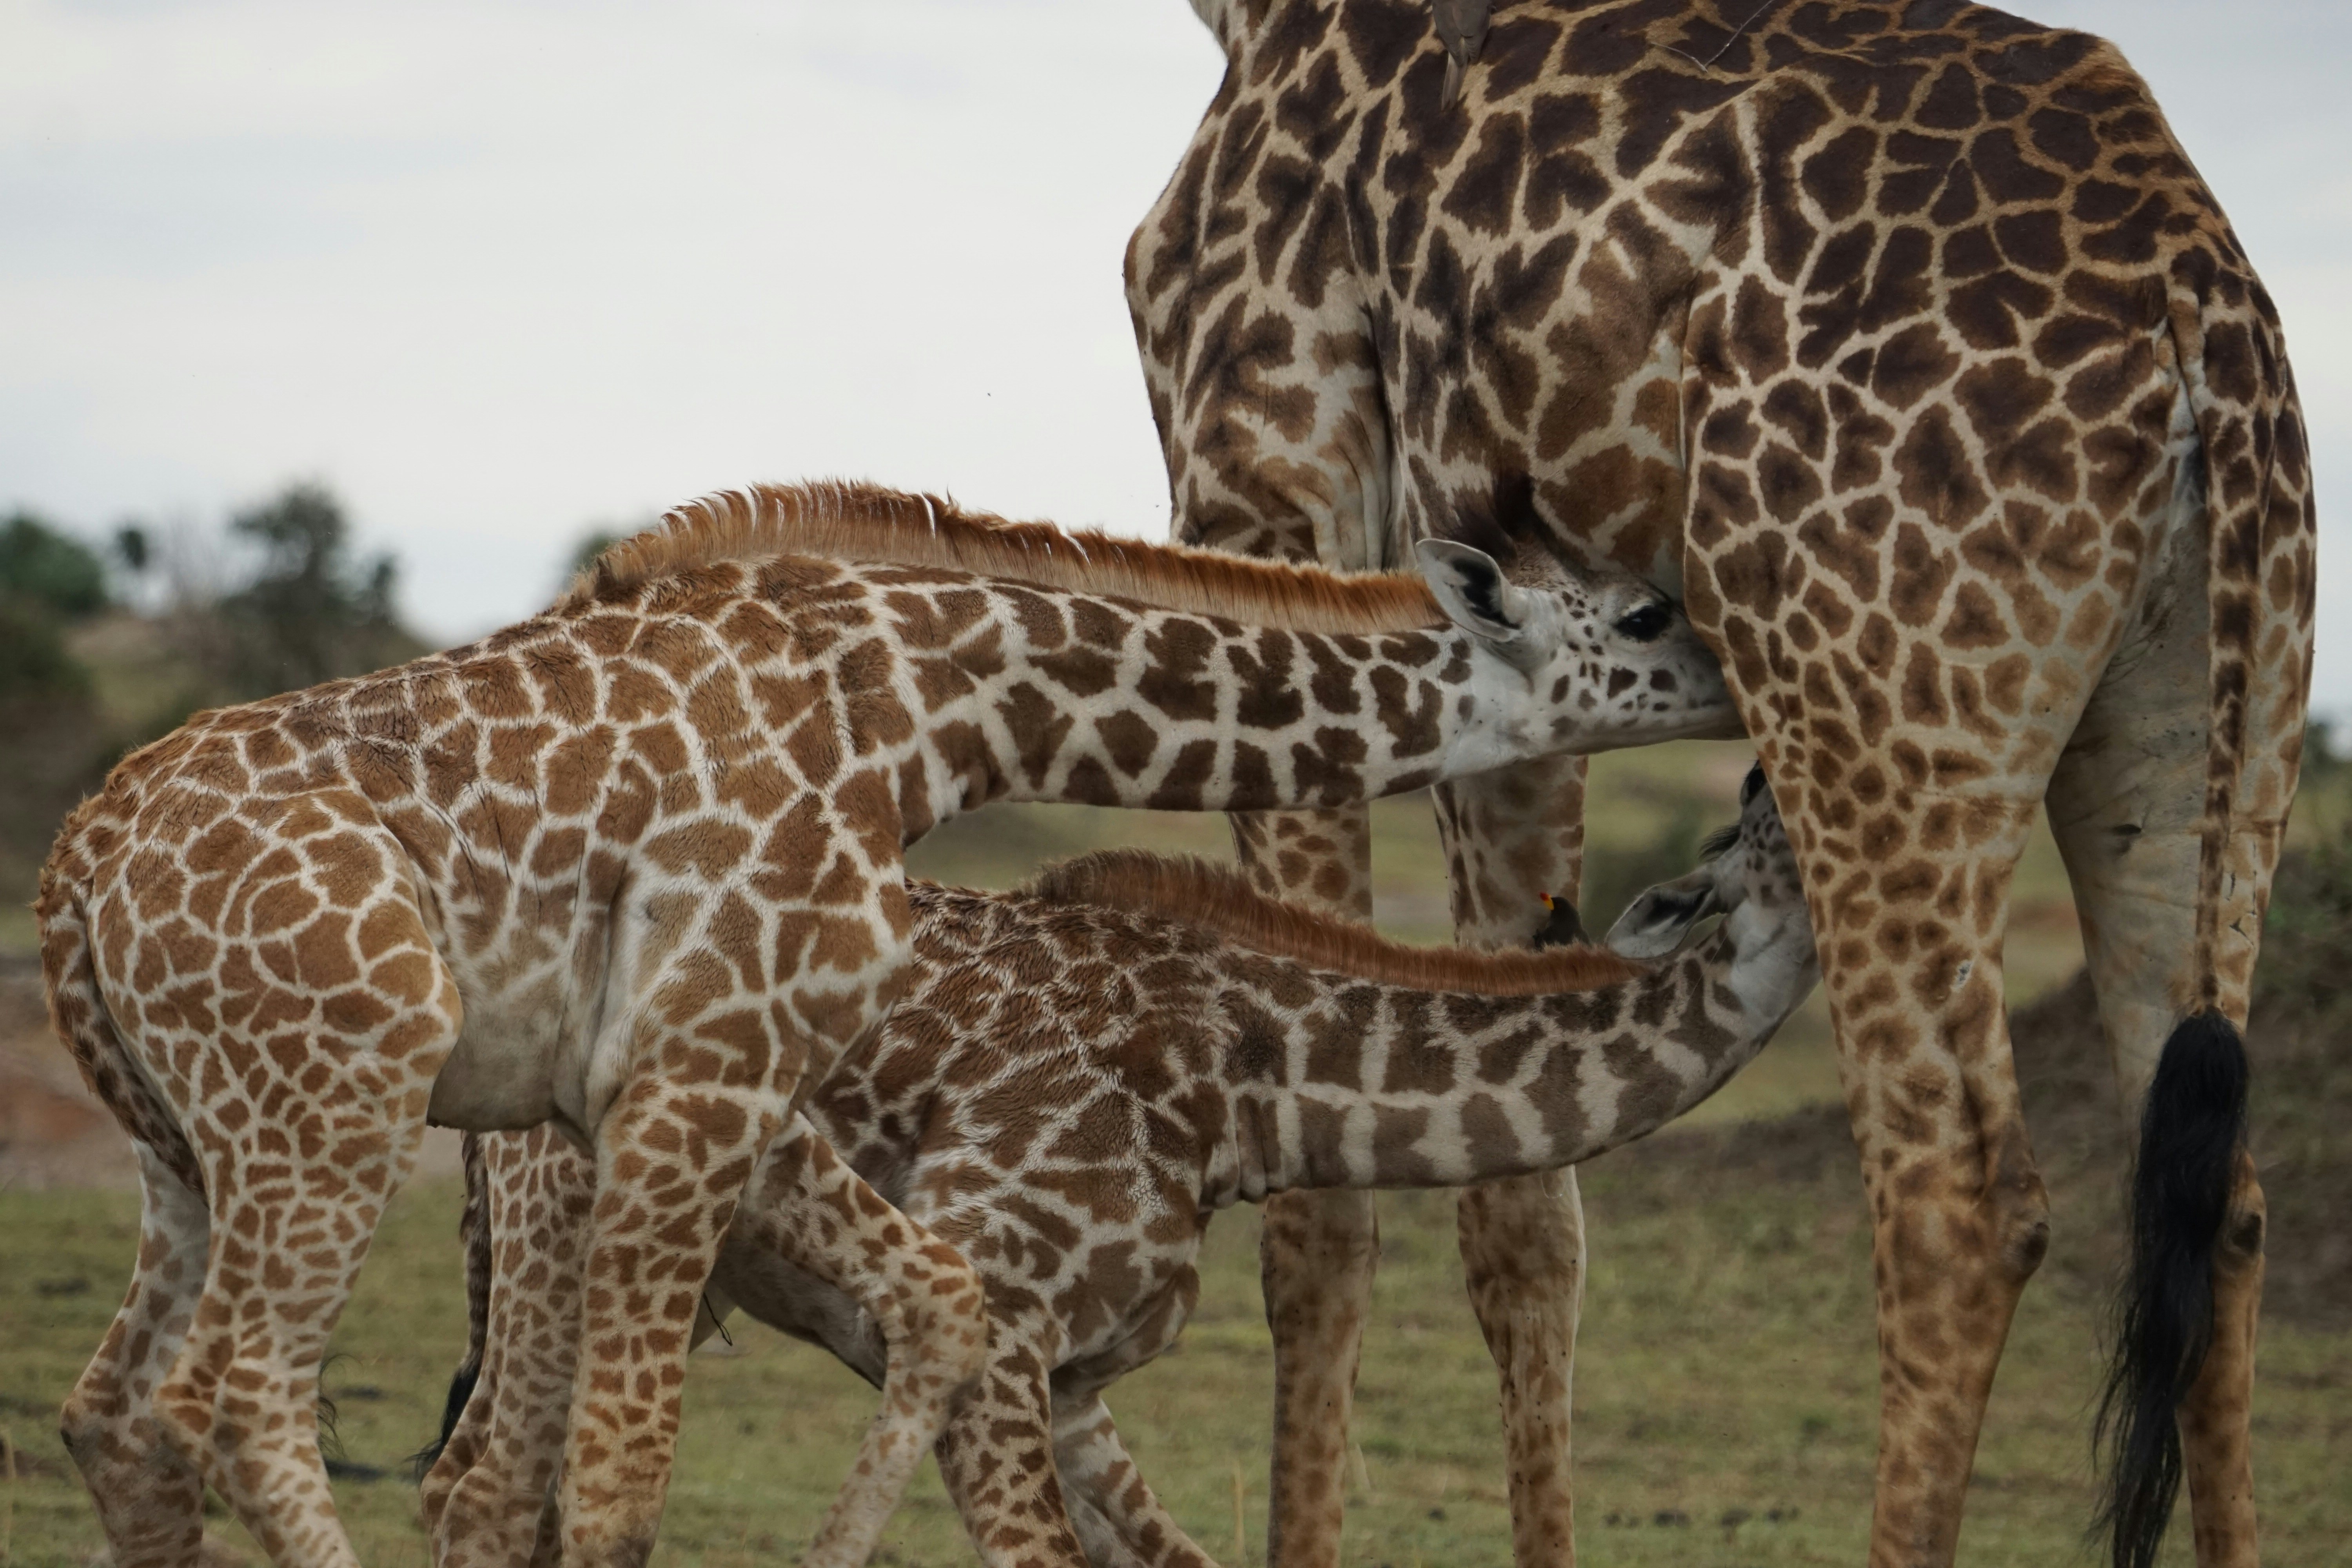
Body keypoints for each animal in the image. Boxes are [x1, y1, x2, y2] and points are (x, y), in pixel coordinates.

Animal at [422, 764, 1815, 1568]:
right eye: (1779, 827)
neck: (1248, 1089)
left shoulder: (1077, 1376)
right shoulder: (997, 1330)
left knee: (472, 1487)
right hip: (569, 1225)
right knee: (490, 1496)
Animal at [1126, 5, 2315, 1567]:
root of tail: (2197, 306)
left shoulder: (1270, 496)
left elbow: (1315, 1201)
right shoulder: (1510, 608)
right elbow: (1522, 1190)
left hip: (1870, 706)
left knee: (1955, 1199)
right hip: (2207, 726)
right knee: (2216, 1192)